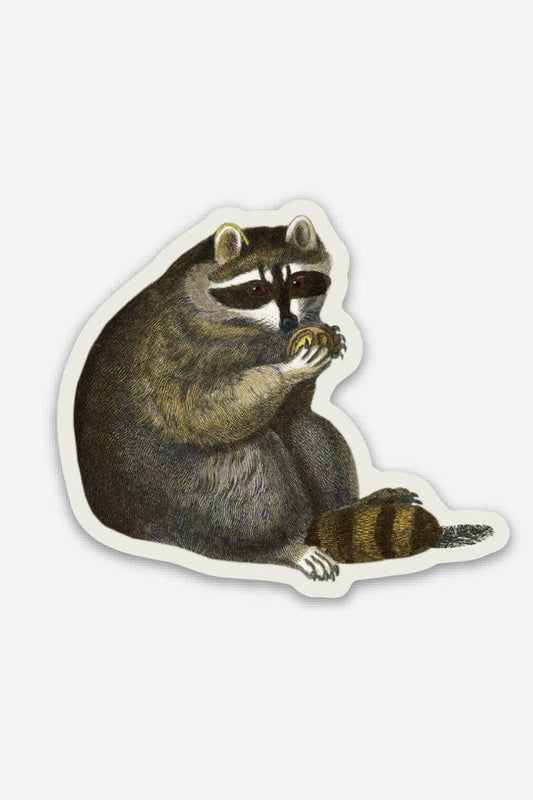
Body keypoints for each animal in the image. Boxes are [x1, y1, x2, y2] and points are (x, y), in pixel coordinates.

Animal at [74, 216, 491, 581]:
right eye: (257, 289)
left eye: (299, 281)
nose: (291, 323)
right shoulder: (179, 347)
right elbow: (198, 408)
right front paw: (288, 370)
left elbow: (294, 408)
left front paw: (326, 336)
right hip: (181, 496)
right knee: (247, 467)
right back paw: (284, 545)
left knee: (309, 430)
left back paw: (344, 508)